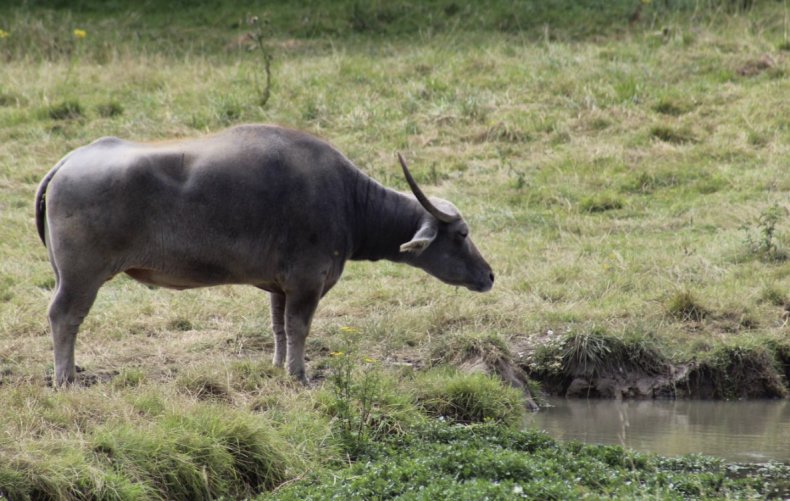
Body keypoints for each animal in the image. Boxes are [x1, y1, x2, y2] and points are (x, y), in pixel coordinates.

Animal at [38, 124, 496, 382]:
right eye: (461, 234)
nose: (490, 275)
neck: (348, 201)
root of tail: (67, 162)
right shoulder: (307, 282)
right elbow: (299, 328)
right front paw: (298, 374)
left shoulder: (280, 286)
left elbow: (278, 328)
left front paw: (278, 367)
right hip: (82, 276)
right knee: (65, 317)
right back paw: (65, 377)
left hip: (64, 273)